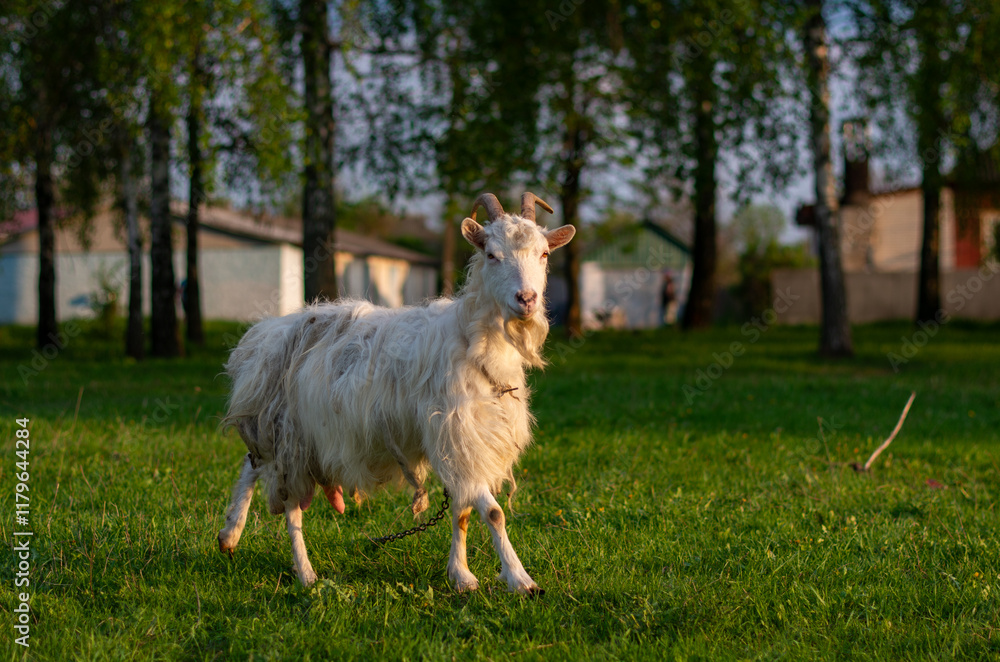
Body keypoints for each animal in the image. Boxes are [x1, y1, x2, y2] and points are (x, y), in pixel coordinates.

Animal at [217, 192, 575, 594]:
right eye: (491, 254)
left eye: (544, 253)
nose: (526, 299)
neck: (471, 343)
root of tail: (263, 334)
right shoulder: (456, 437)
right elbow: (494, 512)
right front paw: (521, 579)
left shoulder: (460, 442)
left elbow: (462, 510)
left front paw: (461, 576)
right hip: (290, 434)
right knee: (289, 501)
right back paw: (304, 572)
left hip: (276, 430)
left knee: (252, 464)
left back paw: (230, 535)